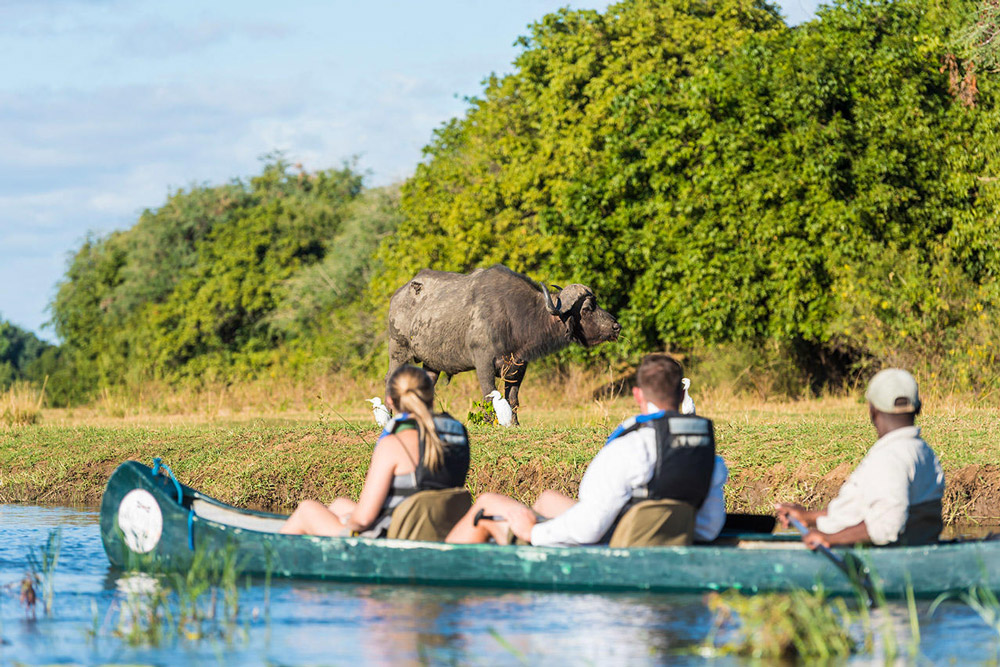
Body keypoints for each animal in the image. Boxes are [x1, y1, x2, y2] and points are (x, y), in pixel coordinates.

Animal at [384, 264, 612, 426]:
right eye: (587, 308)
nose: (616, 326)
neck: (512, 316)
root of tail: (398, 294)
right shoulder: (483, 363)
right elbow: (488, 396)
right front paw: (488, 423)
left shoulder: (519, 367)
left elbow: (513, 398)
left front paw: (514, 424)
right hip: (398, 351)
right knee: (389, 379)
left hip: (431, 364)